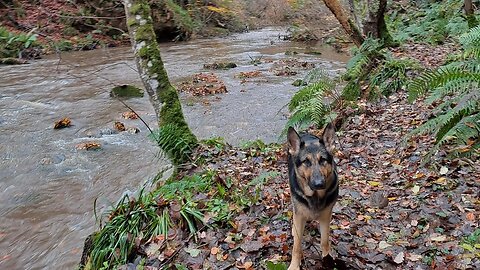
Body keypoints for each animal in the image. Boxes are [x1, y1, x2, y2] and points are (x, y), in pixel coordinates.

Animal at [286, 123, 340, 270]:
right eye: (306, 162)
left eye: (323, 160)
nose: (319, 184)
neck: (315, 197)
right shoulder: (300, 215)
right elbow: (297, 245)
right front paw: (294, 265)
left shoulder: (326, 216)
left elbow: (325, 241)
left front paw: (327, 258)